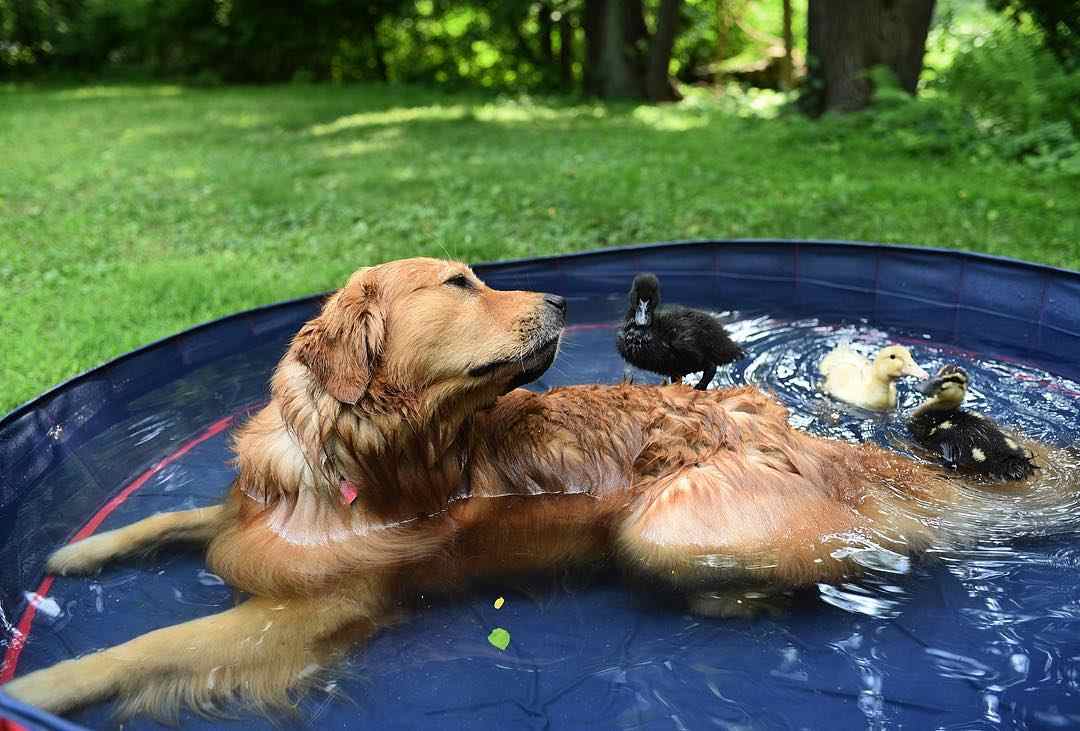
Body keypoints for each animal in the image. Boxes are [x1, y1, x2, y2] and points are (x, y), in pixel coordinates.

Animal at [4, 256, 976, 716]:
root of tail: (786, 429)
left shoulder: (303, 614)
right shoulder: (252, 510)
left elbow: (141, 649)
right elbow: (173, 514)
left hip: (662, 527)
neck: (353, 456)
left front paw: (36, 690)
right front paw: (78, 550)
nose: (558, 301)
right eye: (458, 281)